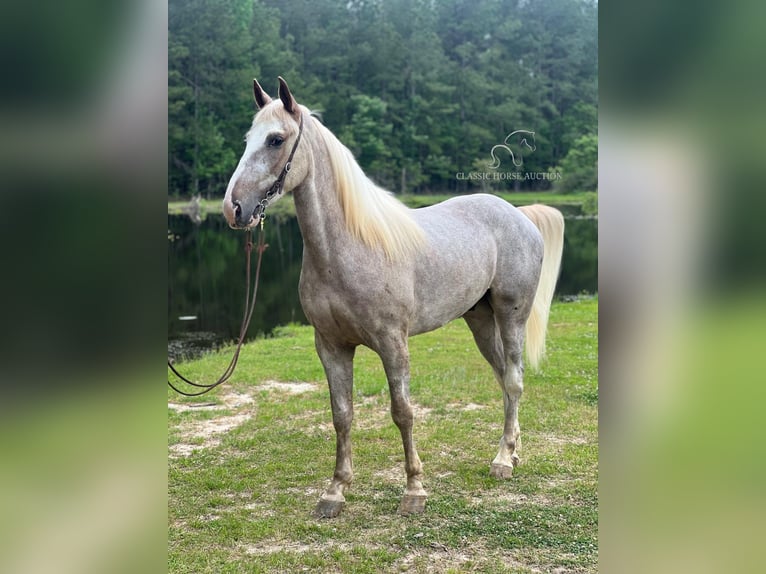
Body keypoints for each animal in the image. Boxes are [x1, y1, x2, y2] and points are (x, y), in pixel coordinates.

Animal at [222, 74, 564, 520]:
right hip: (479, 319)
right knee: (504, 379)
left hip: (511, 316)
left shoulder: (392, 343)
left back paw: (503, 460)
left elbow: (402, 412)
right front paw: (335, 491)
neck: (349, 248)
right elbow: (342, 415)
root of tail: (519, 214)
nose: (233, 209)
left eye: (276, 139)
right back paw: (513, 450)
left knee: (515, 380)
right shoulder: (330, 346)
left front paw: (414, 490)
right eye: (248, 139)